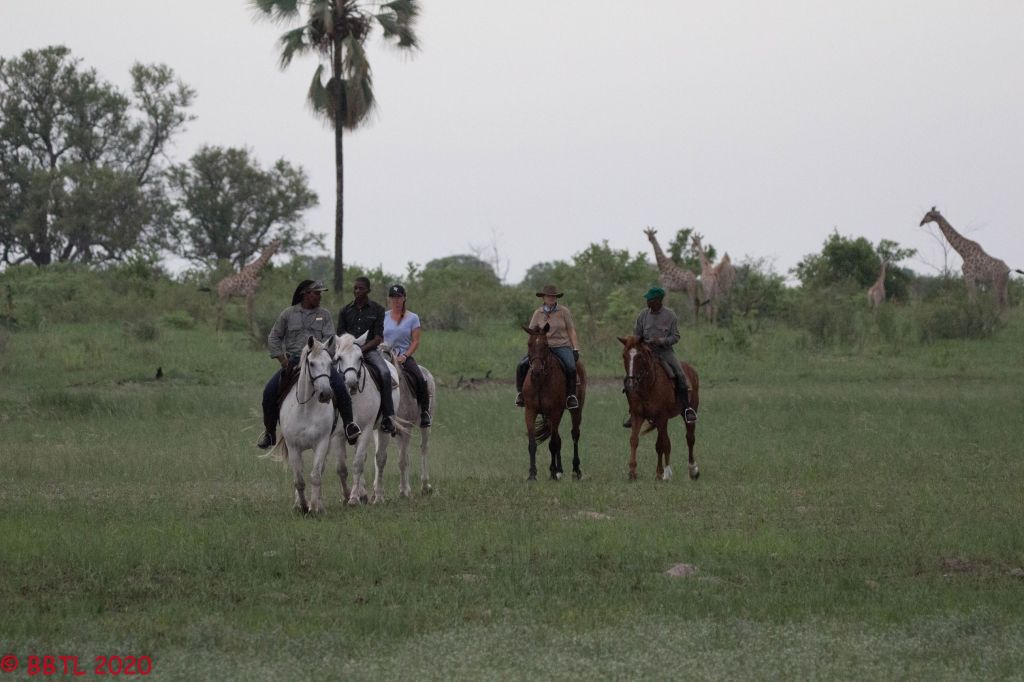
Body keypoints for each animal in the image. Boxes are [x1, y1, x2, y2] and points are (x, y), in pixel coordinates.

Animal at [271, 335, 337, 514]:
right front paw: (303, 506)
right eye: (312, 363)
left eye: (330, 363)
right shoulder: (293, 446)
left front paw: (314, 507)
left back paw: (319, 504)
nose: (326, 394)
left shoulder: (322, 443)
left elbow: (316, 476)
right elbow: (299, 480)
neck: (307, 409)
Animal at [331, 331, 401, 505]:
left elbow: (357, 463)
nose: (351, 383)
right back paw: (364, 494)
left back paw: (378, 496)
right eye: (339, 357)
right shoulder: (339, 434)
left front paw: (353, 498)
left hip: (382, 428)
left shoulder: (367, 428)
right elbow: (341, 467)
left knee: (380, 459)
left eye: (360, 358)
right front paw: (347, 496)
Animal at [379, 344, 436, 498]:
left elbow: (402, 460)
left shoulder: (407, 429)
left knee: (424, 448)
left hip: (426, 424)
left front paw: (404, 492)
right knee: (406, 454)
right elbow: (402, 459)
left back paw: (425, 486)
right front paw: (404, 489)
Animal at [521, 324, 586, 481]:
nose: (536, 370)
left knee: (574, 435)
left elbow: (553, 443)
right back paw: (560, 470)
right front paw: (532, 474)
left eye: (545, 345)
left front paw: (552, 472)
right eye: (529, 344)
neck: (540, 381)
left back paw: (576, 470)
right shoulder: (530, 411)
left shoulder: (555, 411)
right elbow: (533, 443)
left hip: (576, 410)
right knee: (558, 438)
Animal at [618, 335, 700, 481]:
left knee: (690, 438)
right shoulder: (638, 416)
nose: (630, 384)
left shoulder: (662, 418)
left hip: (689, 412)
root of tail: (691, 370)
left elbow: (663, 444)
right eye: (624, 355)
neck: (648, 386)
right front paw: (632, 472)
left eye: (639, 356)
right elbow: (634, 440)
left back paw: (693, 470)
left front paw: (666, 473)